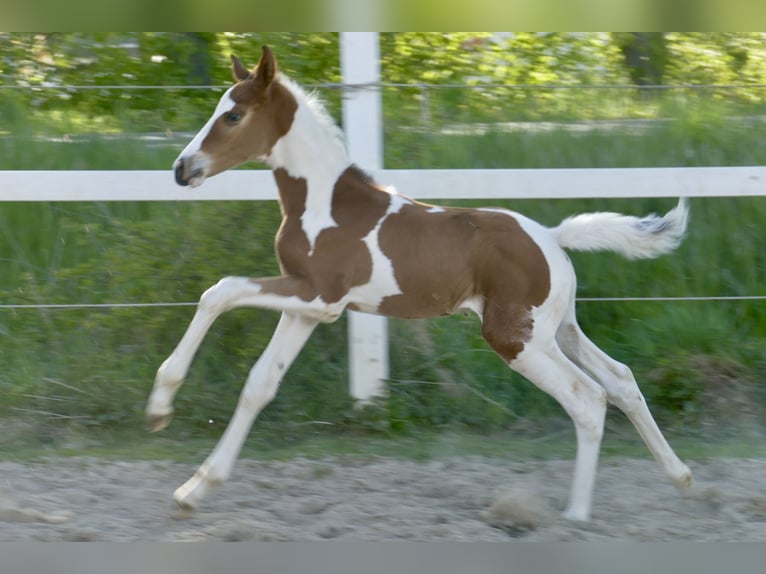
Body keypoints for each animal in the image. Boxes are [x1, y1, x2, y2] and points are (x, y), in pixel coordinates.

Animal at [146, 45, 694, 522]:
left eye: (233, 116)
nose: (181, 169)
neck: (324, 204)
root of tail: (553, 237)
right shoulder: (307, 307)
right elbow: (259, 384)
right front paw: (194, 490)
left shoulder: (317, 294)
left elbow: (219, 291)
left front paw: (159, 406)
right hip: (557, 331)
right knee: (621, 381)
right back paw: (682, 477)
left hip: (515, 339)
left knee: (588, 398)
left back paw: (576, 514)